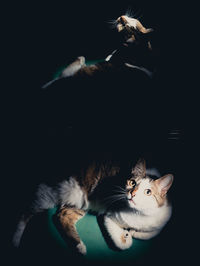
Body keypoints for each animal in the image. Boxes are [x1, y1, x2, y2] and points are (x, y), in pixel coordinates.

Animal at [12, 159, 173, 255]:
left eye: (148, 192)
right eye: (132, 183)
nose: (132, 194)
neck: (139, 214)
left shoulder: (163, 219)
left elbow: (153, 233)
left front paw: (132, 233)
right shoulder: (109, 215)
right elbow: (120, 244)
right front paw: (126, 238)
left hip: (79, 204)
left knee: (62, 215)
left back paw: (79, 246)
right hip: (52, 193)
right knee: (25, 212)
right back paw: (15, 240)